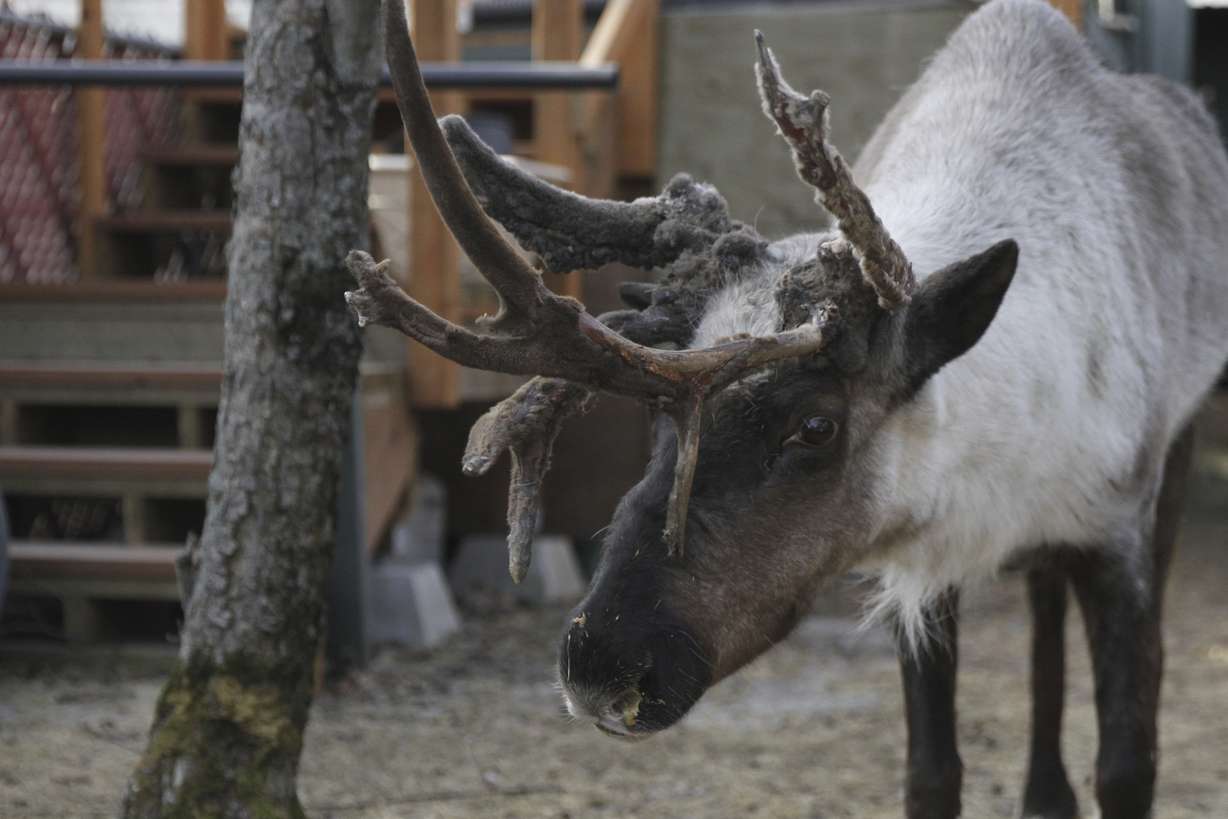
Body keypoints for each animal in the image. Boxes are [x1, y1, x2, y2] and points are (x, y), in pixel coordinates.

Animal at [346, 1, 1228, 817]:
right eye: (659, 420)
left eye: (816, 424)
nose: (599, 667)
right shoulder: (922, 562)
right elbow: (931, 772)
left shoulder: (1115, 532)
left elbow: (1128, 766)